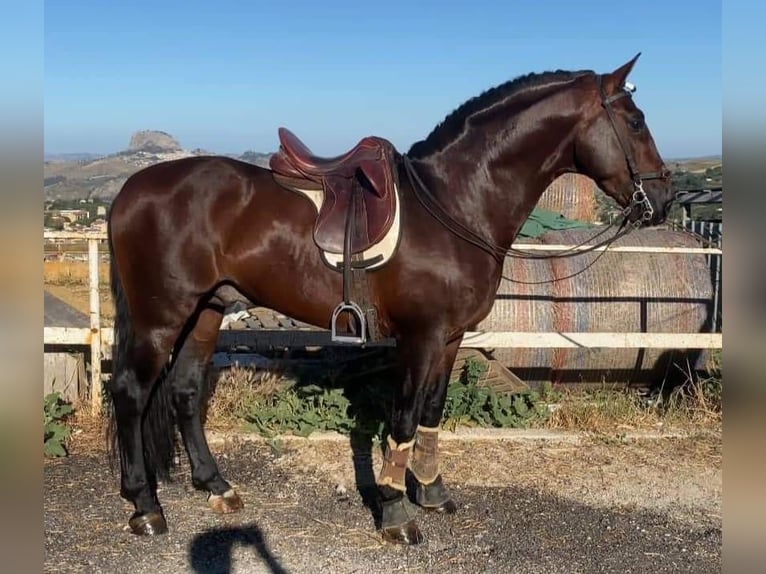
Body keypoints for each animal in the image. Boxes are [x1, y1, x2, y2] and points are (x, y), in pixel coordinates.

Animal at [106, 55, 672, 548]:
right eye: (636, 122)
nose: (663, 200)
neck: (453, 202)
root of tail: (130, 190)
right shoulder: (419, 338)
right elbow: (403, 416)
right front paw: (397, 514)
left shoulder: (451, 338)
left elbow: (432, 412)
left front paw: (432, 492)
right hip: (161, 316)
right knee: (131, 391)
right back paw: (145, 507)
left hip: (207, 310)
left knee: (184, 391)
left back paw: (216, 486)